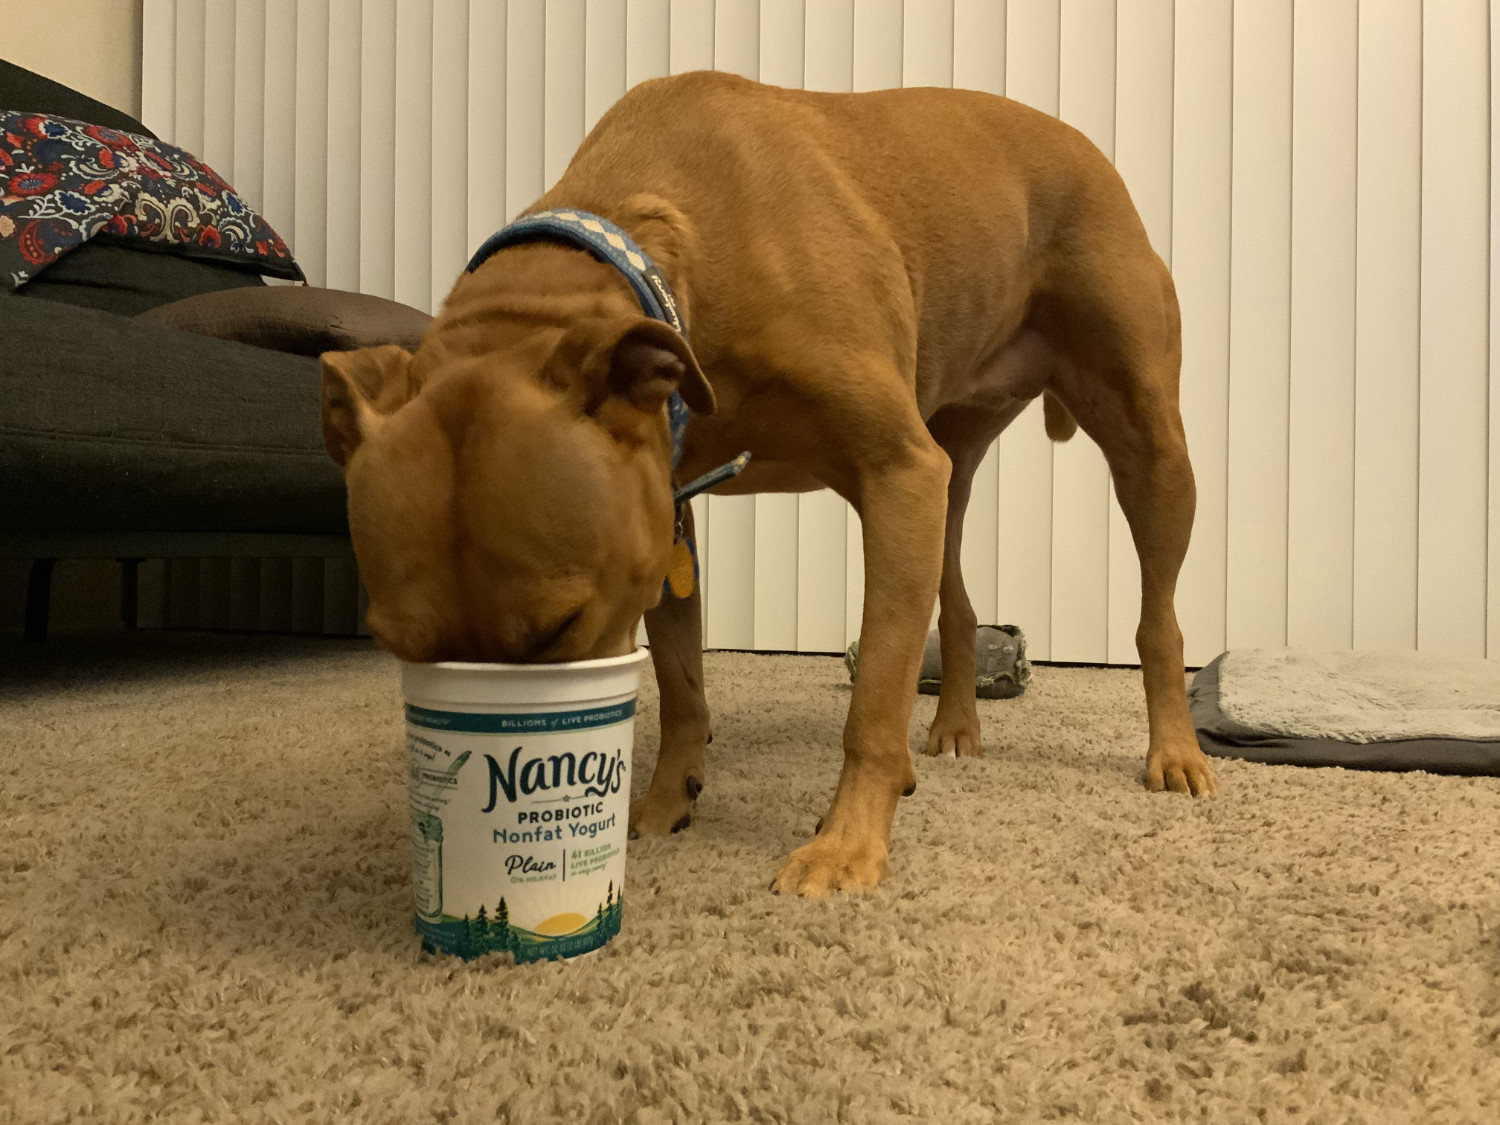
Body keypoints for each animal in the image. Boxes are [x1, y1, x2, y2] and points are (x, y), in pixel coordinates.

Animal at [319, 72, 1218, 900]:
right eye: (394, 644)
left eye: (559, 627)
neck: (663, 243)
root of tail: (1085, 147)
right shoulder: (666, 516)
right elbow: (682, 679)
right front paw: (664, 799)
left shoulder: (897, 473)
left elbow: (873, 695)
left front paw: (848, 843)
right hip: (952, 470)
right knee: (956, 600)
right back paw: (956, 726)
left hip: (1146, 446)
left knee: (1157, 617)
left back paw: (1174, 749)